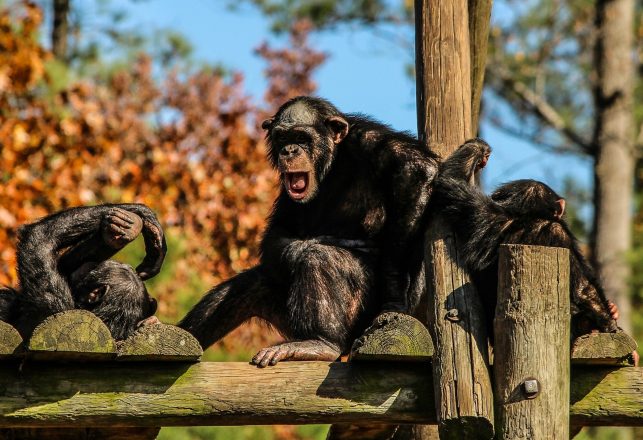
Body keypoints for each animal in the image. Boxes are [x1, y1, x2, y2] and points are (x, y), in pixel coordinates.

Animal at [181, 97, 442, 368]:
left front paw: (394, 297)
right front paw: (300, 246)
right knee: (251, 284)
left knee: (320, 258)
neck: (332, 164)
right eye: (282, 138)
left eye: (302, 137)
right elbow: (278, 232)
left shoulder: (369, 139)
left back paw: (321, 343)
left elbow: (416, 169)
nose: (289, 151)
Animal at [436, 139, 620, 338]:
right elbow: (584, 289)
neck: (526, 216)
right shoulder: (558, 233)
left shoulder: (480, 213)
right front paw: (610, 322)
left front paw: (479, 149)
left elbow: (450, 181)